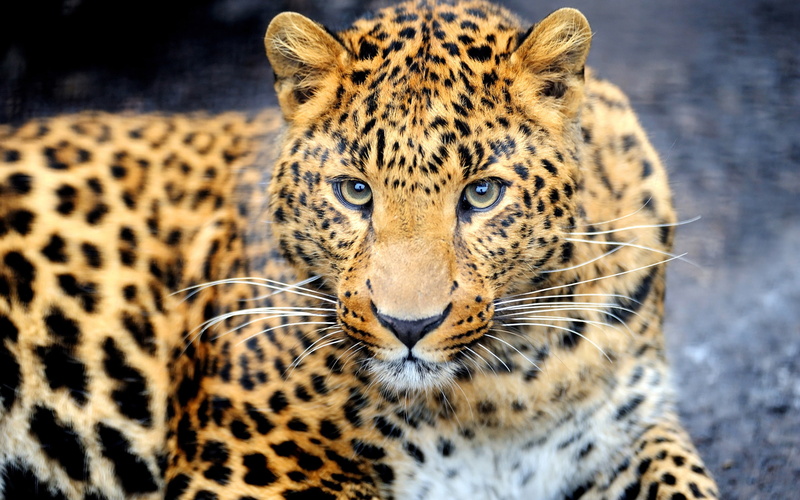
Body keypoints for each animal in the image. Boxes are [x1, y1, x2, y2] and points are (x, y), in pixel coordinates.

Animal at [0, 1, 719, 499]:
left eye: (481, 193)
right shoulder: (243, 469)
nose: (409, 326)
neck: (498, 397)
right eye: (354, 192)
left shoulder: (627, 428)